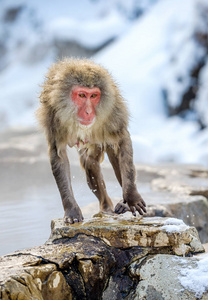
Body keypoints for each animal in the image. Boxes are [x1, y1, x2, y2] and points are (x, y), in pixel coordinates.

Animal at [36, 58, 146, 223]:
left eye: (93, 96)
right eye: (82, 95)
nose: (88, 112)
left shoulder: (113, 113)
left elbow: (122, 140)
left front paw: (131, 196)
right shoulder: (53, 117)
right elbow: (59, 155)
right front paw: (71, 210)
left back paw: (124, 204)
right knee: (89, 162)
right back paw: (106, 207)